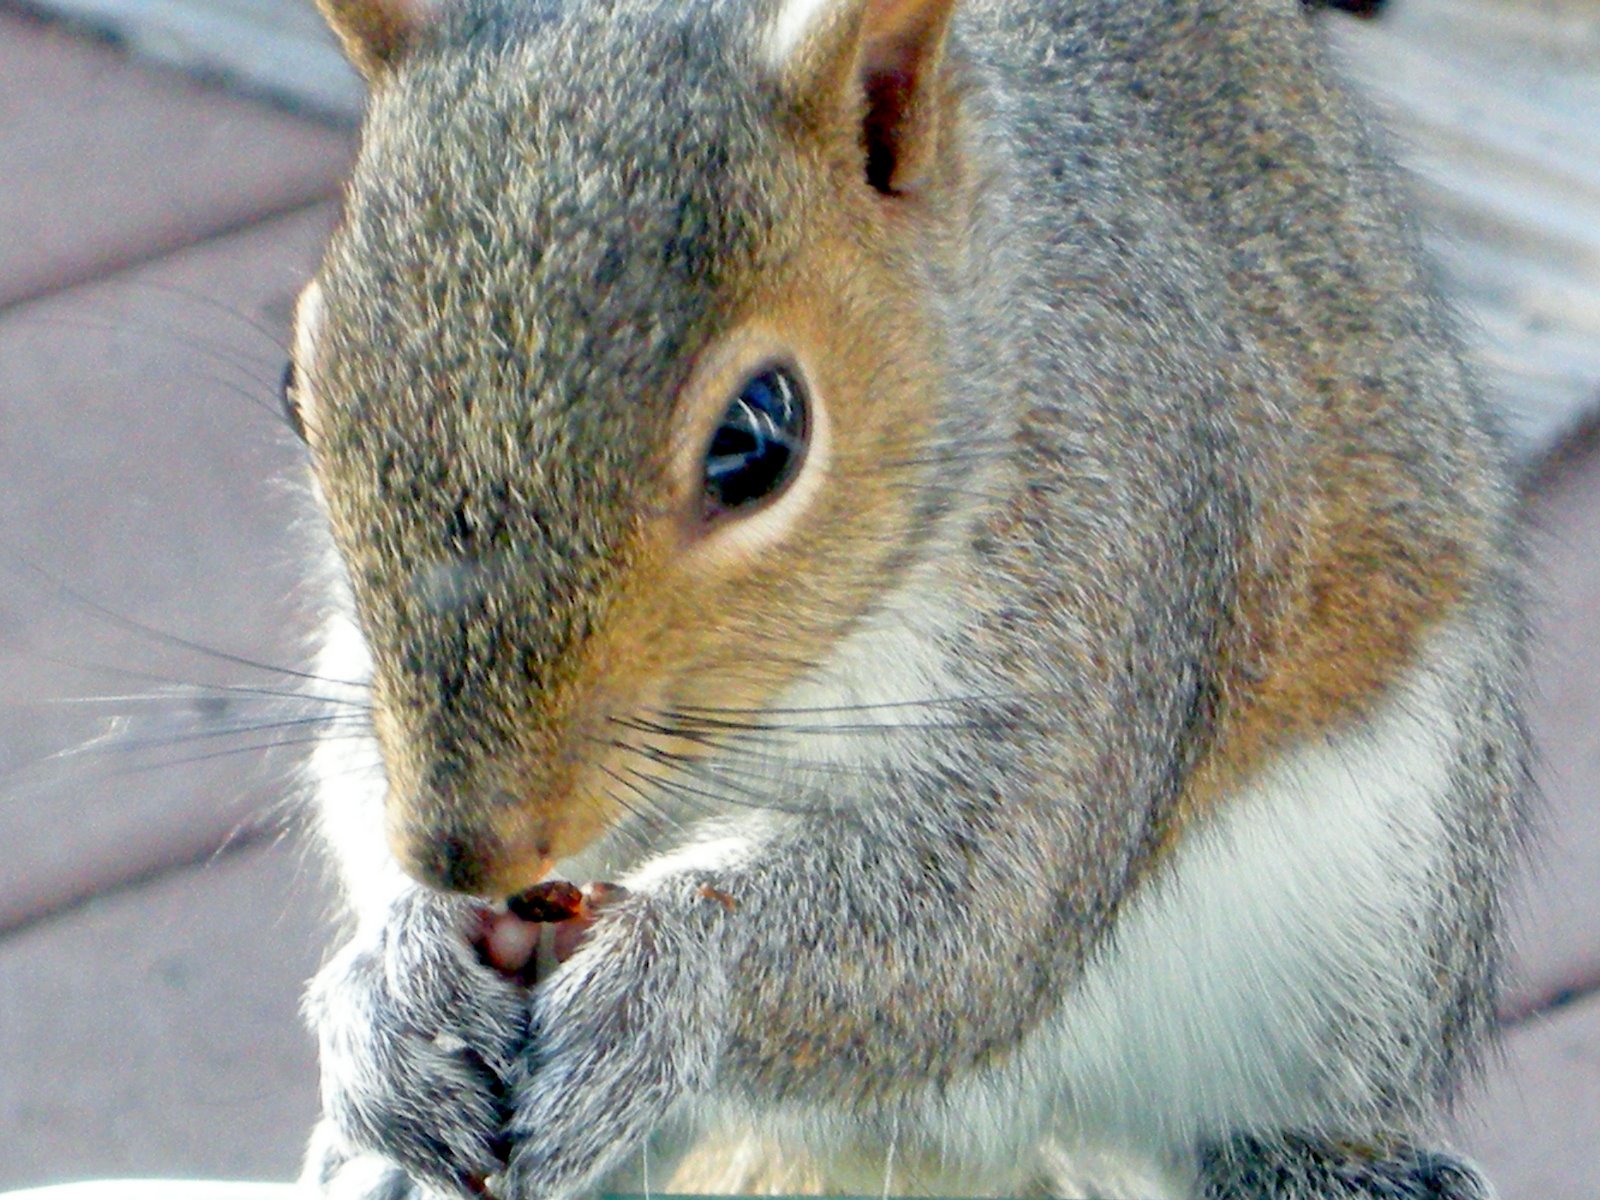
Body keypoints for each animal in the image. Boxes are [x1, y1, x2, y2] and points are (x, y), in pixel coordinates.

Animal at [286, 0, 1527, 1196]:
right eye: (297, 386)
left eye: (759, 437)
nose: (463, 852)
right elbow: (355, 768)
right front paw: (395, 976)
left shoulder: (1106, 588)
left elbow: (974, 920)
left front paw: (663, 982)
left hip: (1370, 923)